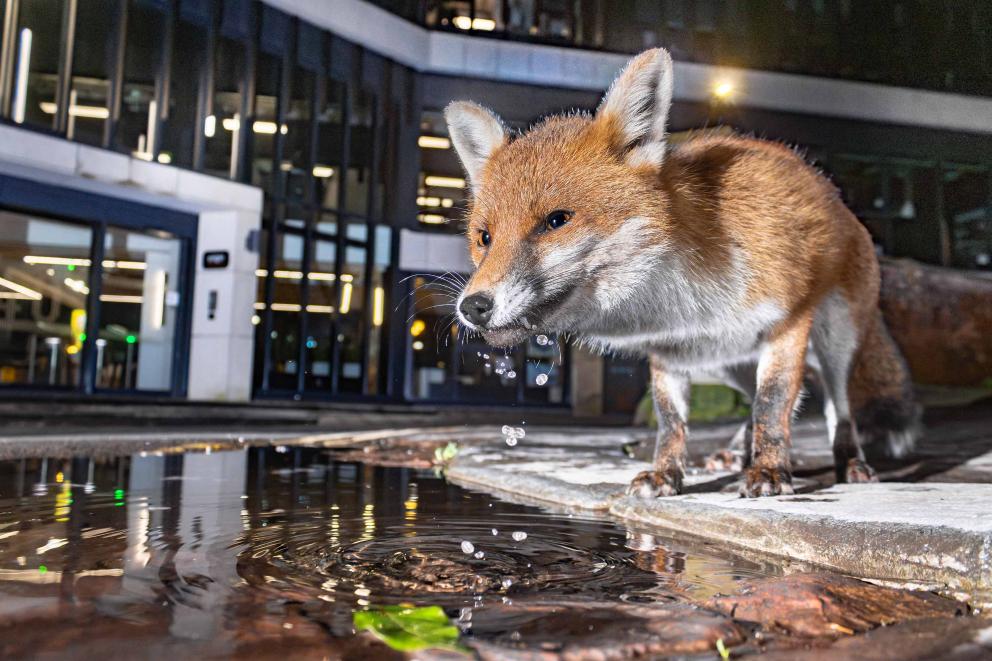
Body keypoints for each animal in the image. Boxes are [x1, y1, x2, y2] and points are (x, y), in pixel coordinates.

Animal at [446, 50, 920, 496]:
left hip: (834, 341)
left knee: (837, 407)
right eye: (484, 238)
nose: (473, 307)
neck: (680, 303)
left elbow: (772, 405)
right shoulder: (669, 354)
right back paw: (734, 454)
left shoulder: (787, 324)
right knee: (756, 401)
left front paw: (769, 470)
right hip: (726, 360)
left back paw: (849, 461)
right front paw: (666, 475)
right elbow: (672, 423)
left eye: (557, 220)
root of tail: (840, 200)